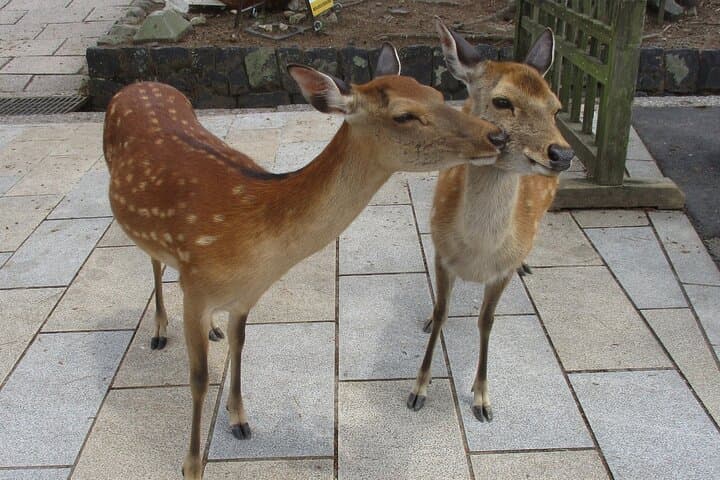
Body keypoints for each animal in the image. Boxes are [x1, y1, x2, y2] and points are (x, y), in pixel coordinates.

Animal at [103, 43, 507, 479]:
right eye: (404, 115)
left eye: (436, 92)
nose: (497, 135)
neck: (254, 247)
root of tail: (137, 83)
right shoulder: (196, 287)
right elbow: (198, 379)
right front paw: (192, 465)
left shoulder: (246, 296)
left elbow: (240, 345)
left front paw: (239, 419)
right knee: (154, 262)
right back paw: (160, 330)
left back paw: (210, 329)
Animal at [406, 20, 574, 423]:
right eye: (502, 101)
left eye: (556, 107)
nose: (562, 154)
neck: (478, 254)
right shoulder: (441, 254)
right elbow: (442, 312)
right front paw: (419, 388)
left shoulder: (502, 271)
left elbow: (487, 321)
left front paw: (482, 398)